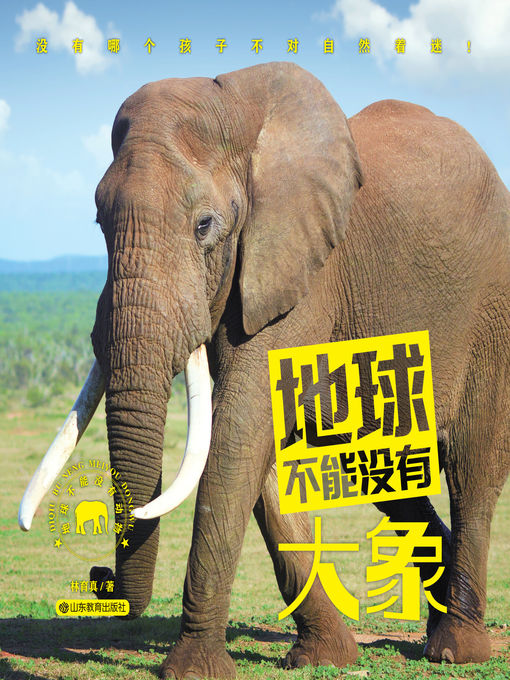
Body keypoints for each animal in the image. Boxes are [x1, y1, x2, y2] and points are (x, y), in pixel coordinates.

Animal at [18, 62, 510, 678]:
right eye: (99, 222)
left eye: (205, 226)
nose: (98, 578)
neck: (238, 110)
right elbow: (254, 447)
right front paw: (325, 658)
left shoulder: (305, 272)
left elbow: (239, 429)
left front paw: (192, 670)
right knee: (384, 468)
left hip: (490, 314)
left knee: (472, 466)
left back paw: (455, 648)